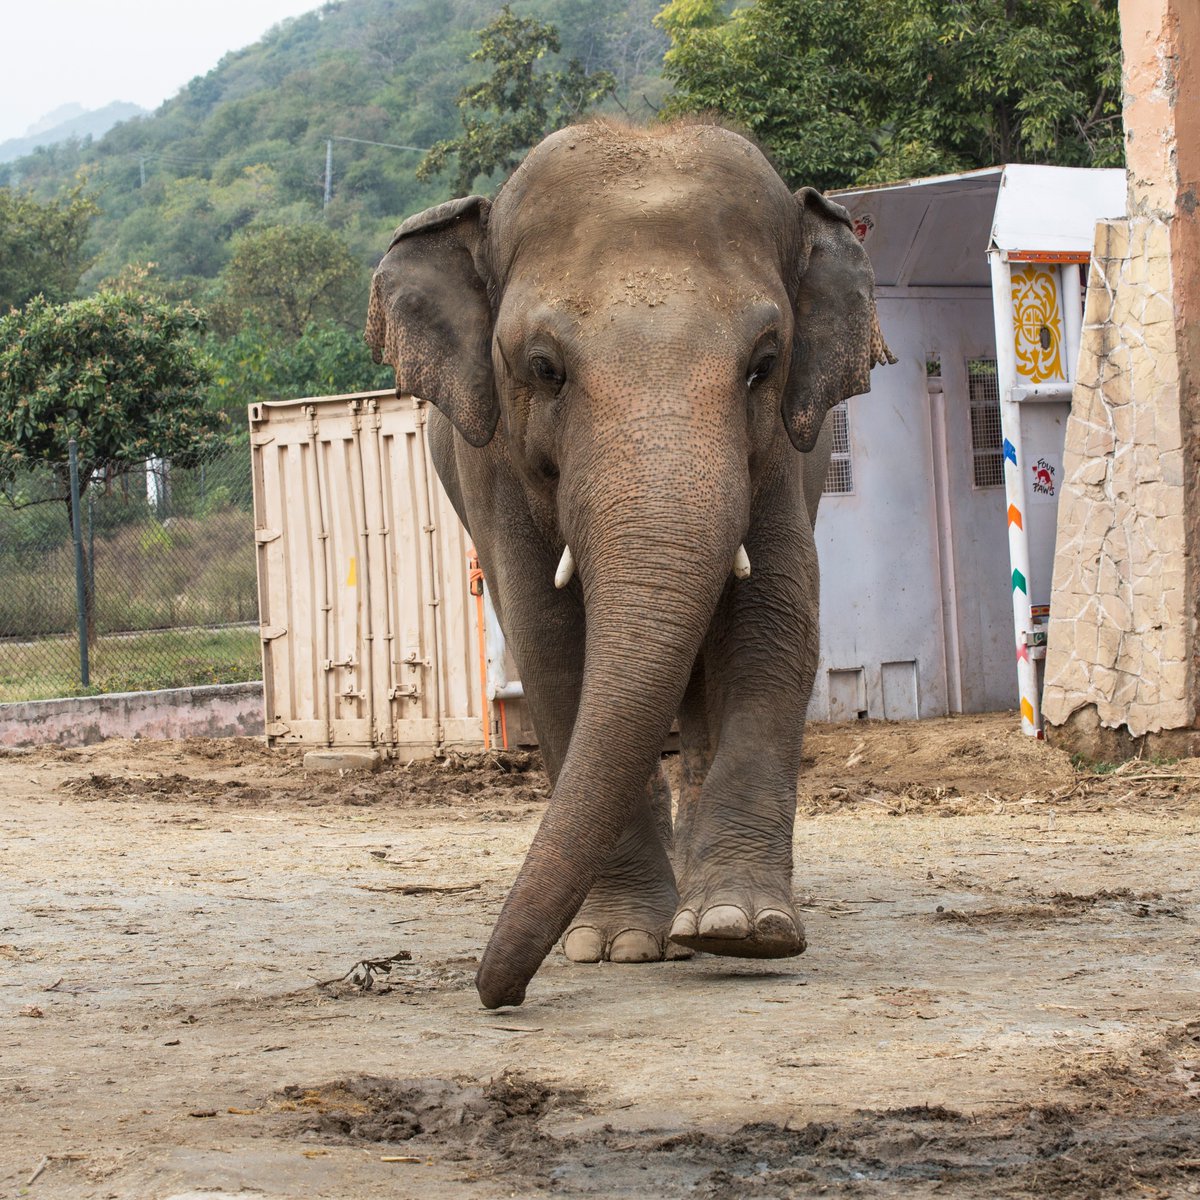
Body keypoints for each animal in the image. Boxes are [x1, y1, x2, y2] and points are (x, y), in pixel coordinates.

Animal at [366, 119, 893, 1009]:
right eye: (544, 368)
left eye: (763, 364)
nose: (494, 994)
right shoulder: (494, 471)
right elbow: (550, 645)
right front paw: (616, 945)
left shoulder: (787, 460)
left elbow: (776, 624)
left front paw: (742, 930)